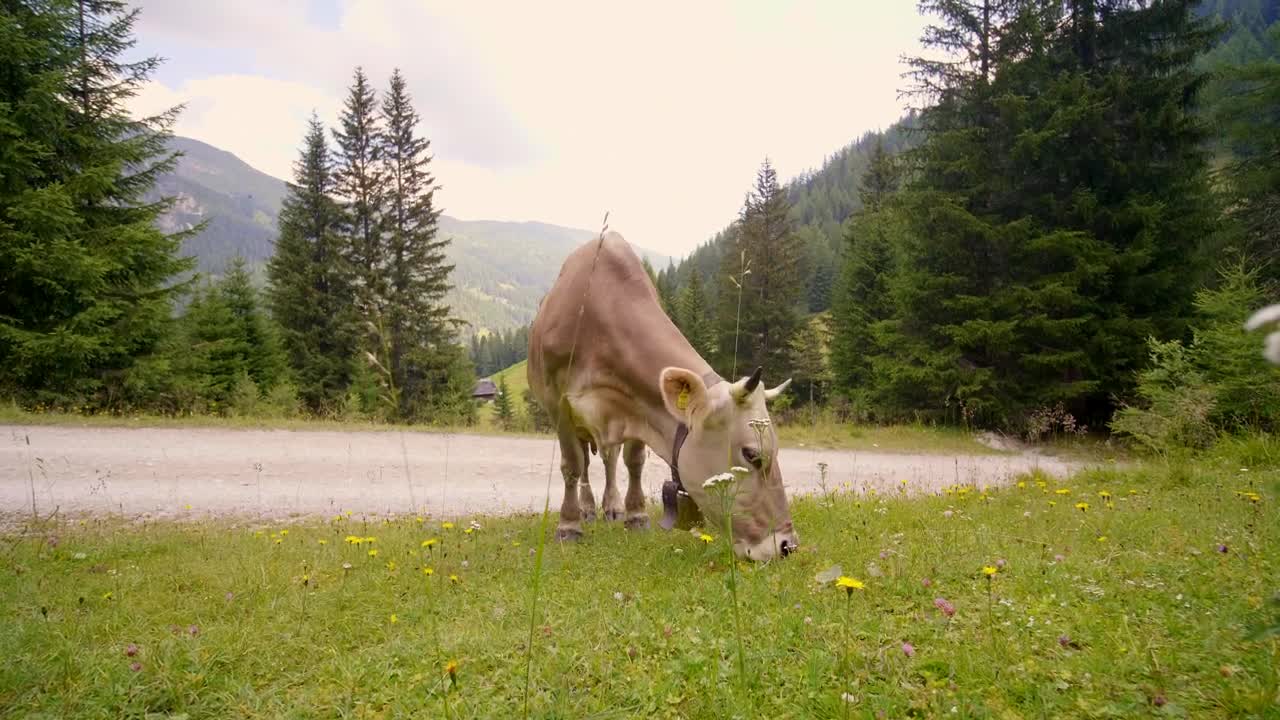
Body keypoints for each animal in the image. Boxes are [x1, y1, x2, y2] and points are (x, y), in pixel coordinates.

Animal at [524, 233, 793, 558]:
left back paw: (612, 507)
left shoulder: (636, 408)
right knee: (586, 464)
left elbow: (634, 461)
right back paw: (587, 510)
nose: (787, 545)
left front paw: (636, 516)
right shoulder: (558, 403)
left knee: (610, 459)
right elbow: (572, 466)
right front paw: (568, 526)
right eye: (752, 454)